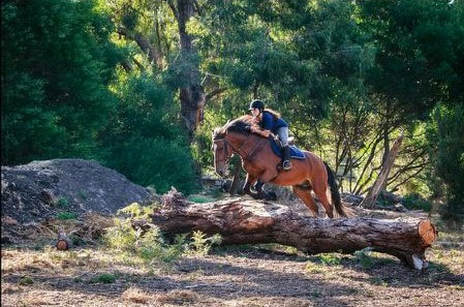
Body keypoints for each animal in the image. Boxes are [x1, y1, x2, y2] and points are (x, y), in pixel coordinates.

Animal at [211, 115, 348, 219]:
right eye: (213, 148)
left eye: (221, 148)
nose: (220, 171)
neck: (254, 148)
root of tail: (321, 162)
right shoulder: (252, 174)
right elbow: (246, 188)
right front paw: (264, 196)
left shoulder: (270, 172)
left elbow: (257, 186)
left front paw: (269, 196)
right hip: (301, 189)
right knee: (314, 207)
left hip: (318, 187)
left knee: (328, 207)